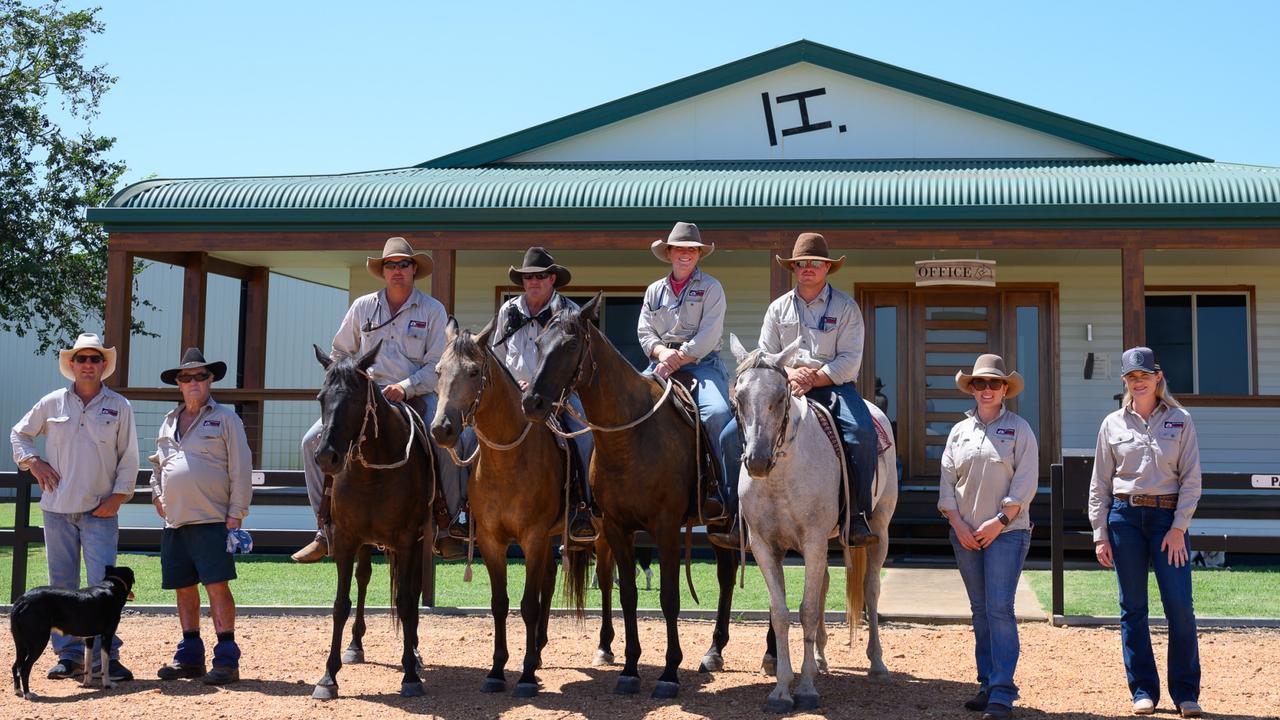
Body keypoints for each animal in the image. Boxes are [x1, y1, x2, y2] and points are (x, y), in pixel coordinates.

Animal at [8, 561, 136, 696]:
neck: (111, 586)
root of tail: (22, 600)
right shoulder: (107, 635)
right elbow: (105, 665)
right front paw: (107, 684)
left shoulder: (89, 637)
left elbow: (88, 663)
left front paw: (87, 683)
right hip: (38, 641)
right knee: (24, 668)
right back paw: (28, 693)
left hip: (21, 643)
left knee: (15, 666)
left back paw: (18, 690)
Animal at [309, 340, 435, 696]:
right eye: (321, 398)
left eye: (354, 399)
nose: (326, 456)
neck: (373, 474)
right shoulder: (346, 538)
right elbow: (341, 604)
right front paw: (328, 676)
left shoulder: (407, 540)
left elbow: (406, 601)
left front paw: (410, 675)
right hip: (366, 543)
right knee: (363, 578)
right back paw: (355, 646)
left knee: (412, 592)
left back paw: (414, 653)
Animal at [427, 319, 601, 696]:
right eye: (438, 371)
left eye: (474, 371)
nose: (442, 429)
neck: (508, 462)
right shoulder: (493, 541)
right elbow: (500, 604)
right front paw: (497, 670)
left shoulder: (532, 538)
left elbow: (528, 605)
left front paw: (525, 676)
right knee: (549, 578)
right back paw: (539, 651)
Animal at [517, 292, 742, 696]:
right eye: (539, 344)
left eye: (571, 344)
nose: (533, 403)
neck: (630, 437)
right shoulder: (617, 528)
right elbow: (627, 595)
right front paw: (630, 668)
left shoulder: (665, 528)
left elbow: (669, 598)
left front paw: (669, 673)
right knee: (725, 575)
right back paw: (711, 651)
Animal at [732, 333, 901, 707]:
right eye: (738, 397)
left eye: (780, 397)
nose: (757, 460)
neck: (782, 474)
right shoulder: (765, 547)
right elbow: (781, 613)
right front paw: (782, 689)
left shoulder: (811, 541)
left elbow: (807, 610)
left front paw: (806, 688)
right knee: (823, 584)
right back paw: (821, 658)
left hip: (879, 530)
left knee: (871, 590)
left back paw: (878, 664)